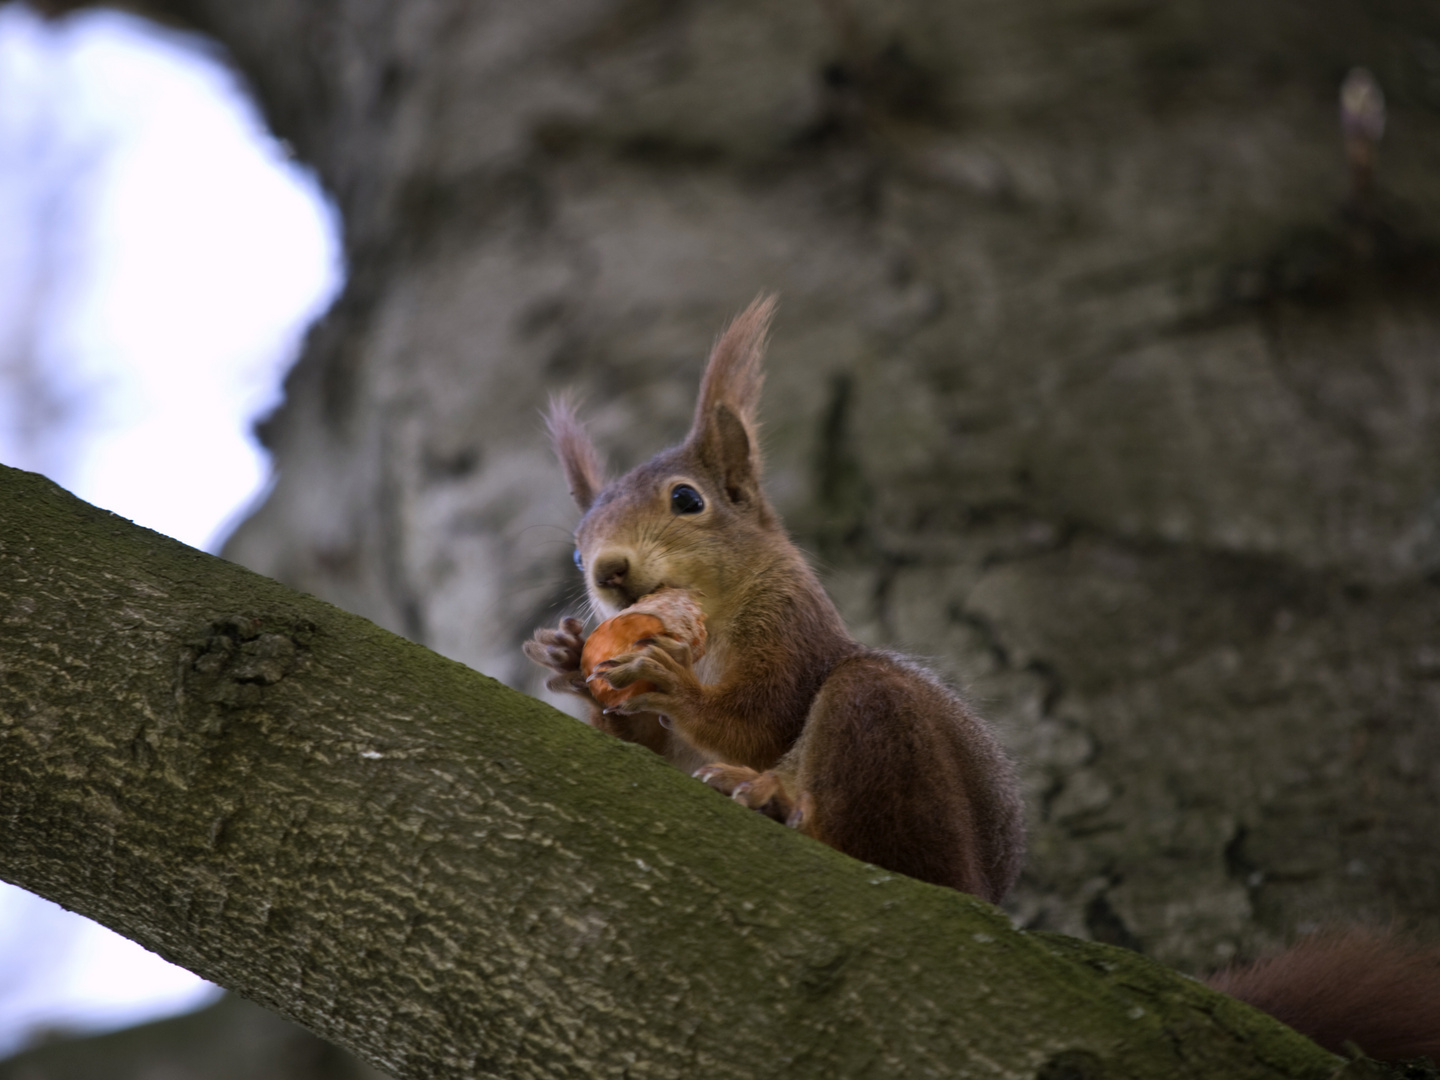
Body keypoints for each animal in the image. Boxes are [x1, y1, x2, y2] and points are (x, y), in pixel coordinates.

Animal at [524, 296, 1031, 904]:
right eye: (577, 554)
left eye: (687, 499)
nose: (607, 570)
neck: (710, 625)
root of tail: (982, 887)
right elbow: (649, 751)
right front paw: (566, 659)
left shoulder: (791, 624)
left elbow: (761, 724)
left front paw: (673, 685)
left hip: (889, 737)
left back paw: (775, 800)